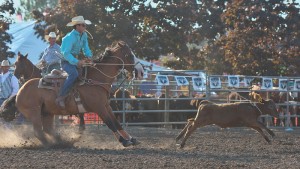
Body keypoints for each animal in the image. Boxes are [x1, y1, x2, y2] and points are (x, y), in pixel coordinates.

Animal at [2, 41, 139, 147]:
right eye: (129, 55)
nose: (136, 71)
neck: (94, 79)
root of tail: (19, 92)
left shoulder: (106, 106)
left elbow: (116, 122)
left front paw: (131, 139)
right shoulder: (99, 107)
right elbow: (110, 123)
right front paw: (123, 141)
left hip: (46, 112)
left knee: (47, 129)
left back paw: (60, 141)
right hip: (34, 112)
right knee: (38, 131)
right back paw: (52, 144)